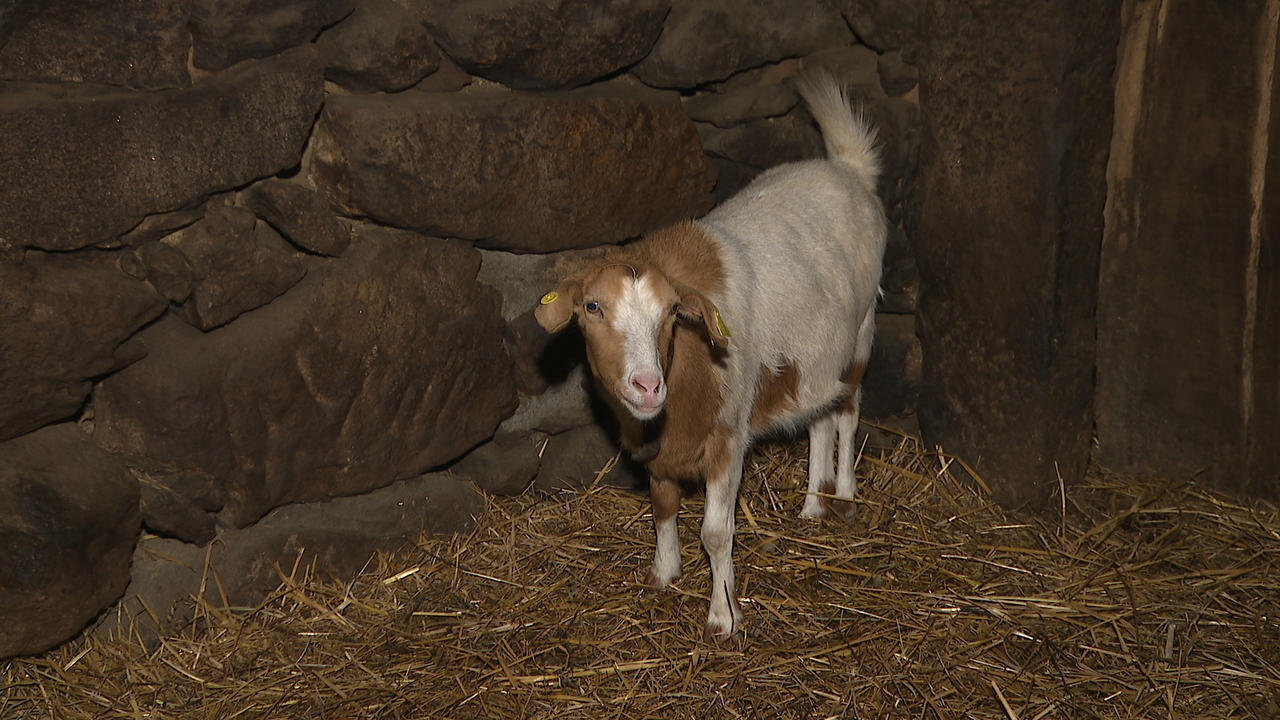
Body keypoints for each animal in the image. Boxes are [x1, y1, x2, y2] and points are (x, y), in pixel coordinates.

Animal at [535, 70, 885, 635]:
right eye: (591, 307)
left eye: (673, 312)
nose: (648, 385)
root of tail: (847, 169)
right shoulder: (656, 448)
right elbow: (662, 506)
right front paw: (664, 573)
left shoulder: (727, 439)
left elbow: (717, 534)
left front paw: (723, 615)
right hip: (813, 357)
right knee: (819, 416)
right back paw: (814, 502)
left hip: (862, 331)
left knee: (849, 412)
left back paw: (846, 497)